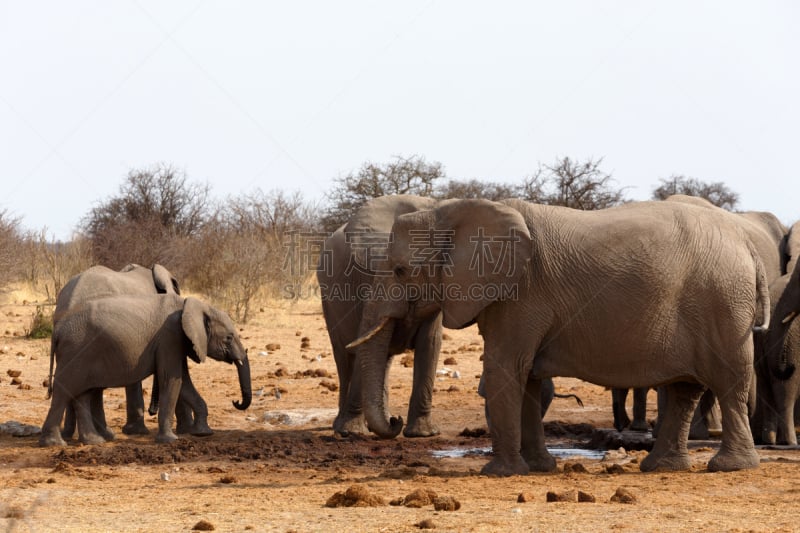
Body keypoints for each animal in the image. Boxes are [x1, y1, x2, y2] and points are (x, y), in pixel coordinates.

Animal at [39, 294, 252, 446]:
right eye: (229, 338)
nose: (235, 401)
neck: (193, 304)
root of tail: (57, 330)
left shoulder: (178, 341)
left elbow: (183, 381)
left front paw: (203, 433)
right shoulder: (170, 337)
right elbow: (172, 379)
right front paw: (170, 440)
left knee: (82, 393)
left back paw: (94, 441)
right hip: (75, 351)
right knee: (64, 391)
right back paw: (54, 444)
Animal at [348, 198, 768, 474]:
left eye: (400, 271)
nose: (396, 422)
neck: (453, 210)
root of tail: (748, 245)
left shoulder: (520, 295)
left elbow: (505, 371)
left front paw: (501, 473)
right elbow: (529, 379)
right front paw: (540, 467)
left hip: (722, 302)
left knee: (728, 383)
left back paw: (729, 467)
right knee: (684, 389)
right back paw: (662, 468)